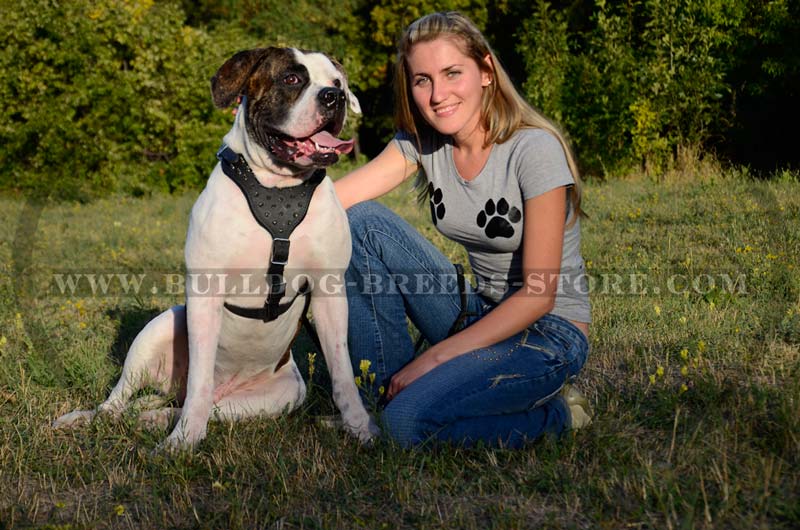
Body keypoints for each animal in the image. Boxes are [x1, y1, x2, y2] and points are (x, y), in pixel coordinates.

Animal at [54, 46, 380, 450]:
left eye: (337, 83)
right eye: (291, 78)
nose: (334, 98)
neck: (277, 186)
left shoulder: (329, 291)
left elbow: (343, 373)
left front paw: (360, 428)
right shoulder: (204, 291)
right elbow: (199, 380)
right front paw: (181, 444)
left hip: (279, 396)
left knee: (205, 406)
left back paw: (152, 418)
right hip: (158, 329)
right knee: (127, 397)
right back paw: (87, 418)